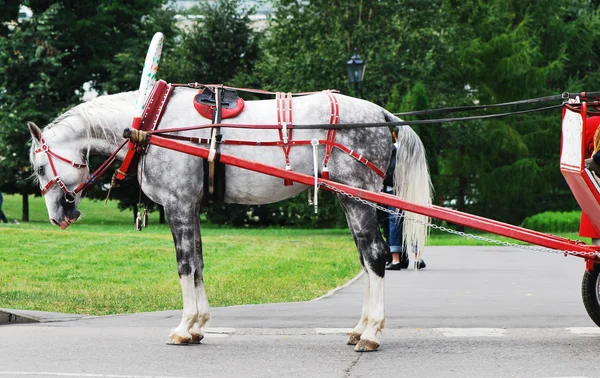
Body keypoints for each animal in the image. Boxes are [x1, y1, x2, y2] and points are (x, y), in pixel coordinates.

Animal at [28, 87, 432, 352]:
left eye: (39, 166)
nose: (58, 216)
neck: (154, 124)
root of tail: (381, 114)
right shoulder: (191, 206)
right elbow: (198, 263)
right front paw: (197, 326)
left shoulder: (178, 204)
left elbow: (184, 264)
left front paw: (184, 327)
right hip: (353, 200)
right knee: (366, 257)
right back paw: (360, 329)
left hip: (357, 197)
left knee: (376, 254)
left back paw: (371, 334)